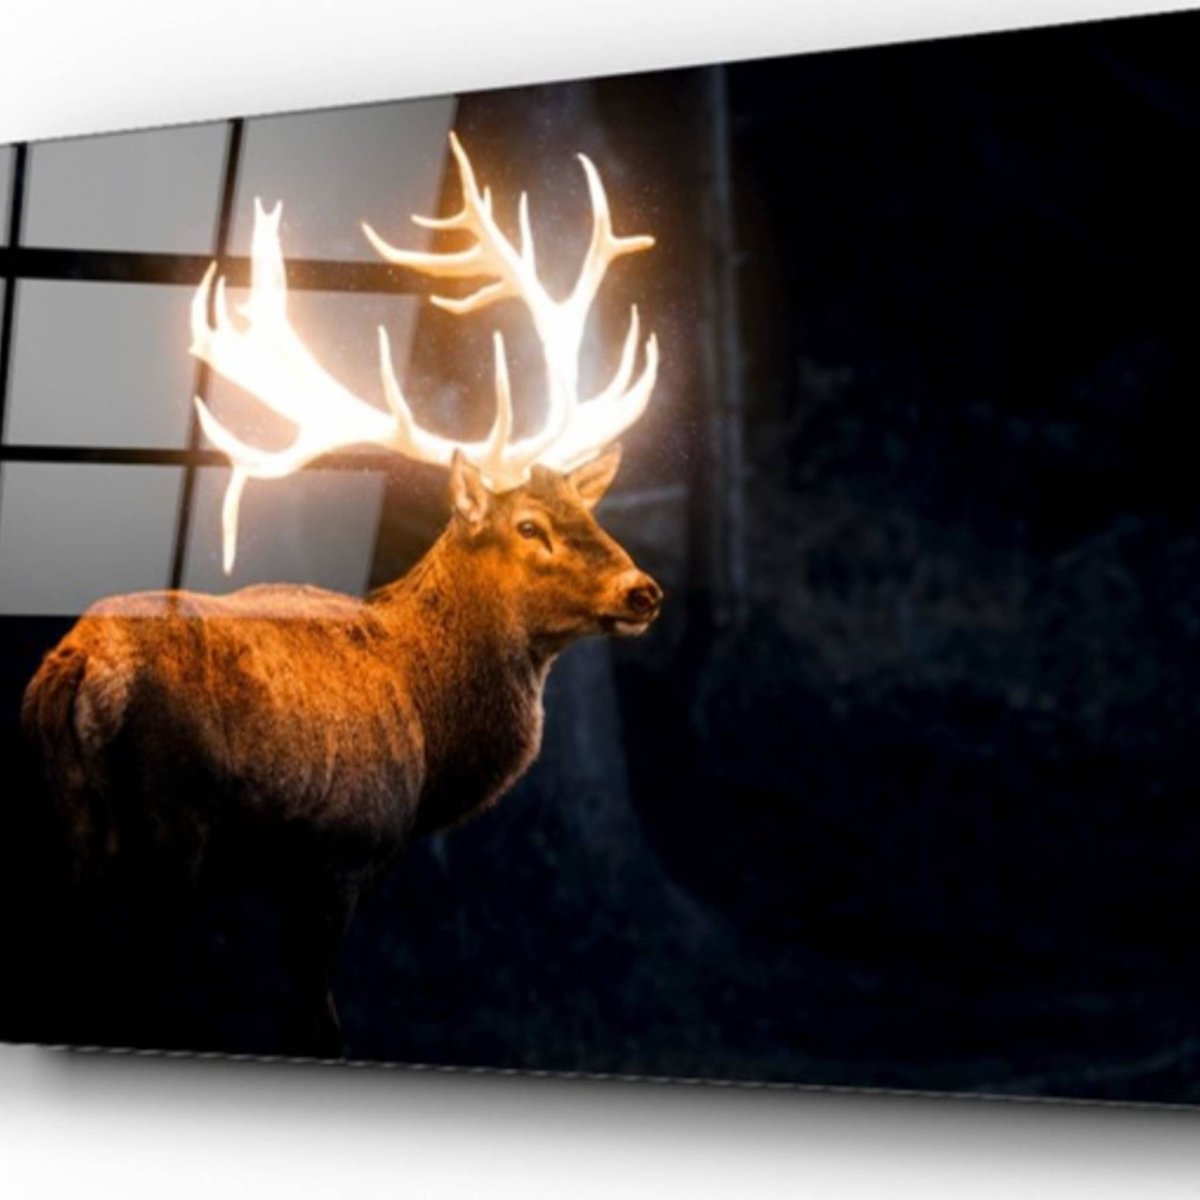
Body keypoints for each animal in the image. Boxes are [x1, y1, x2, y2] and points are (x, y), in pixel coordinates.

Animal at [21, 134, 663, 1057]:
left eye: (589, 511)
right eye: (529, 526)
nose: (641, 590)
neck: (433, 740)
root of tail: (79, 669)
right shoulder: (340, 853)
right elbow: (315, 1018)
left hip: (65, 828)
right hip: (171, 828)